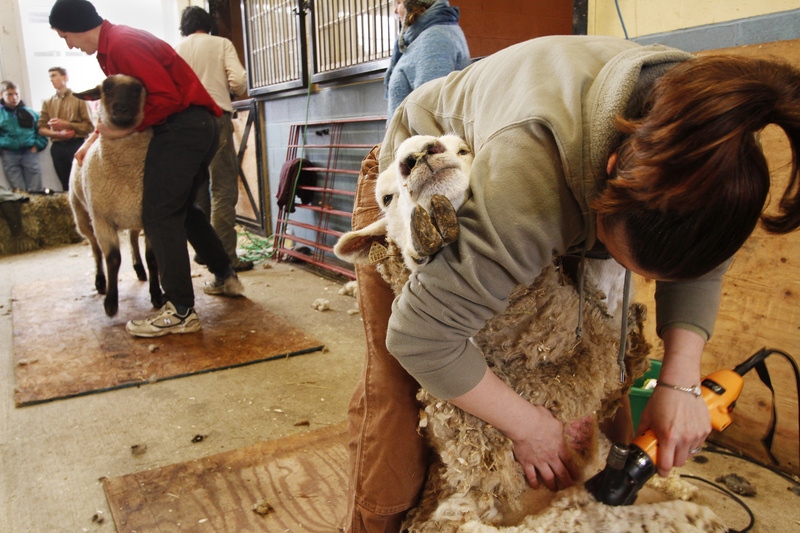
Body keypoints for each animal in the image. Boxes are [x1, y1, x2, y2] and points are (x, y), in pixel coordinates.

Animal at [69, 74, 162, 316]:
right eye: (107, 89)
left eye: (138, 89)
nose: (121, 108)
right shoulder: (102, 219)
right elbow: (112, 258)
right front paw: (111, 302)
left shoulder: (146, 214)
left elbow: (152, 258)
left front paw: (157, 294)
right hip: (83, 216)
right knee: (95, 249)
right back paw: (100, 281)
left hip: (132, 214)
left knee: (132, 237)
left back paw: (139, 269)